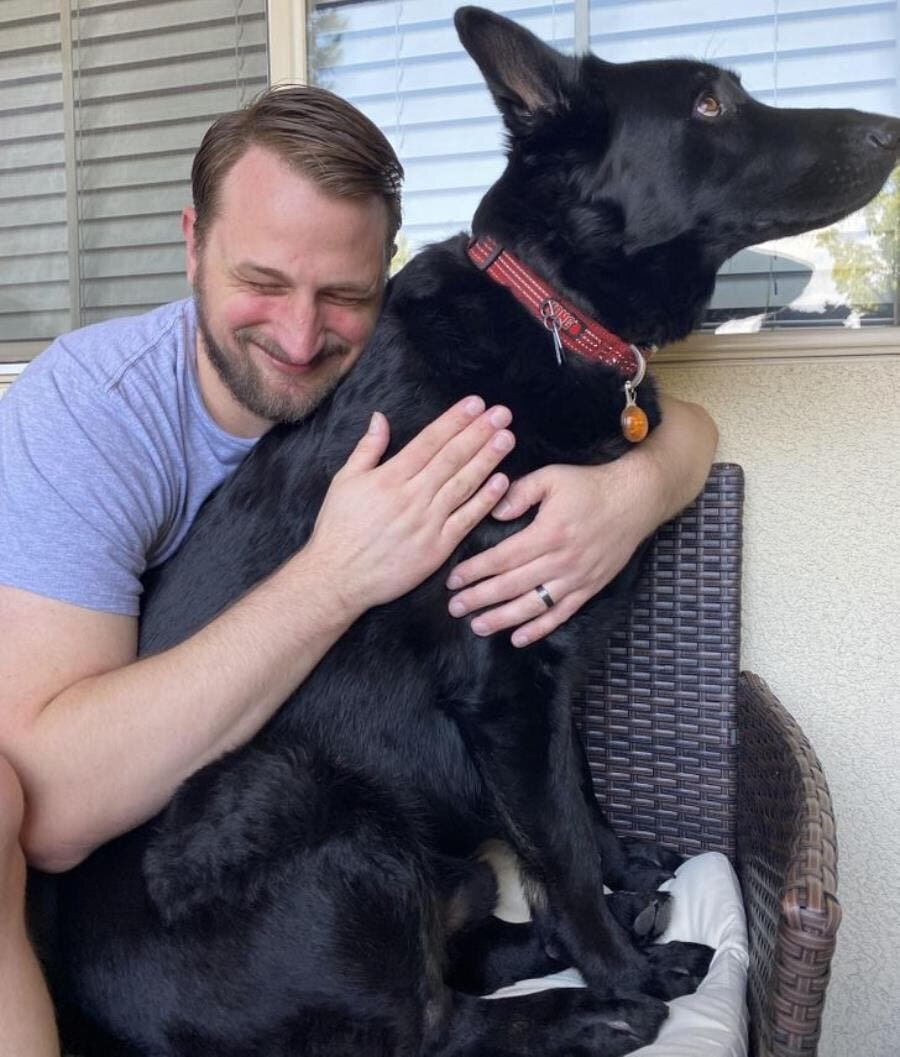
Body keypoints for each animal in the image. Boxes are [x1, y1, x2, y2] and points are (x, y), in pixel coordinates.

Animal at [43, 8, 900, 1057]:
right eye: (708, 103)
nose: (891, 131)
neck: (553, 310)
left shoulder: (551, 673)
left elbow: (581, 797)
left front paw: (626, 874)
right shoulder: (508, 687)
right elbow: (559, 852)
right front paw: (621, 963)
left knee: (465, 952)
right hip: (316, 808)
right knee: (434, 1022)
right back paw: (602, 1007)